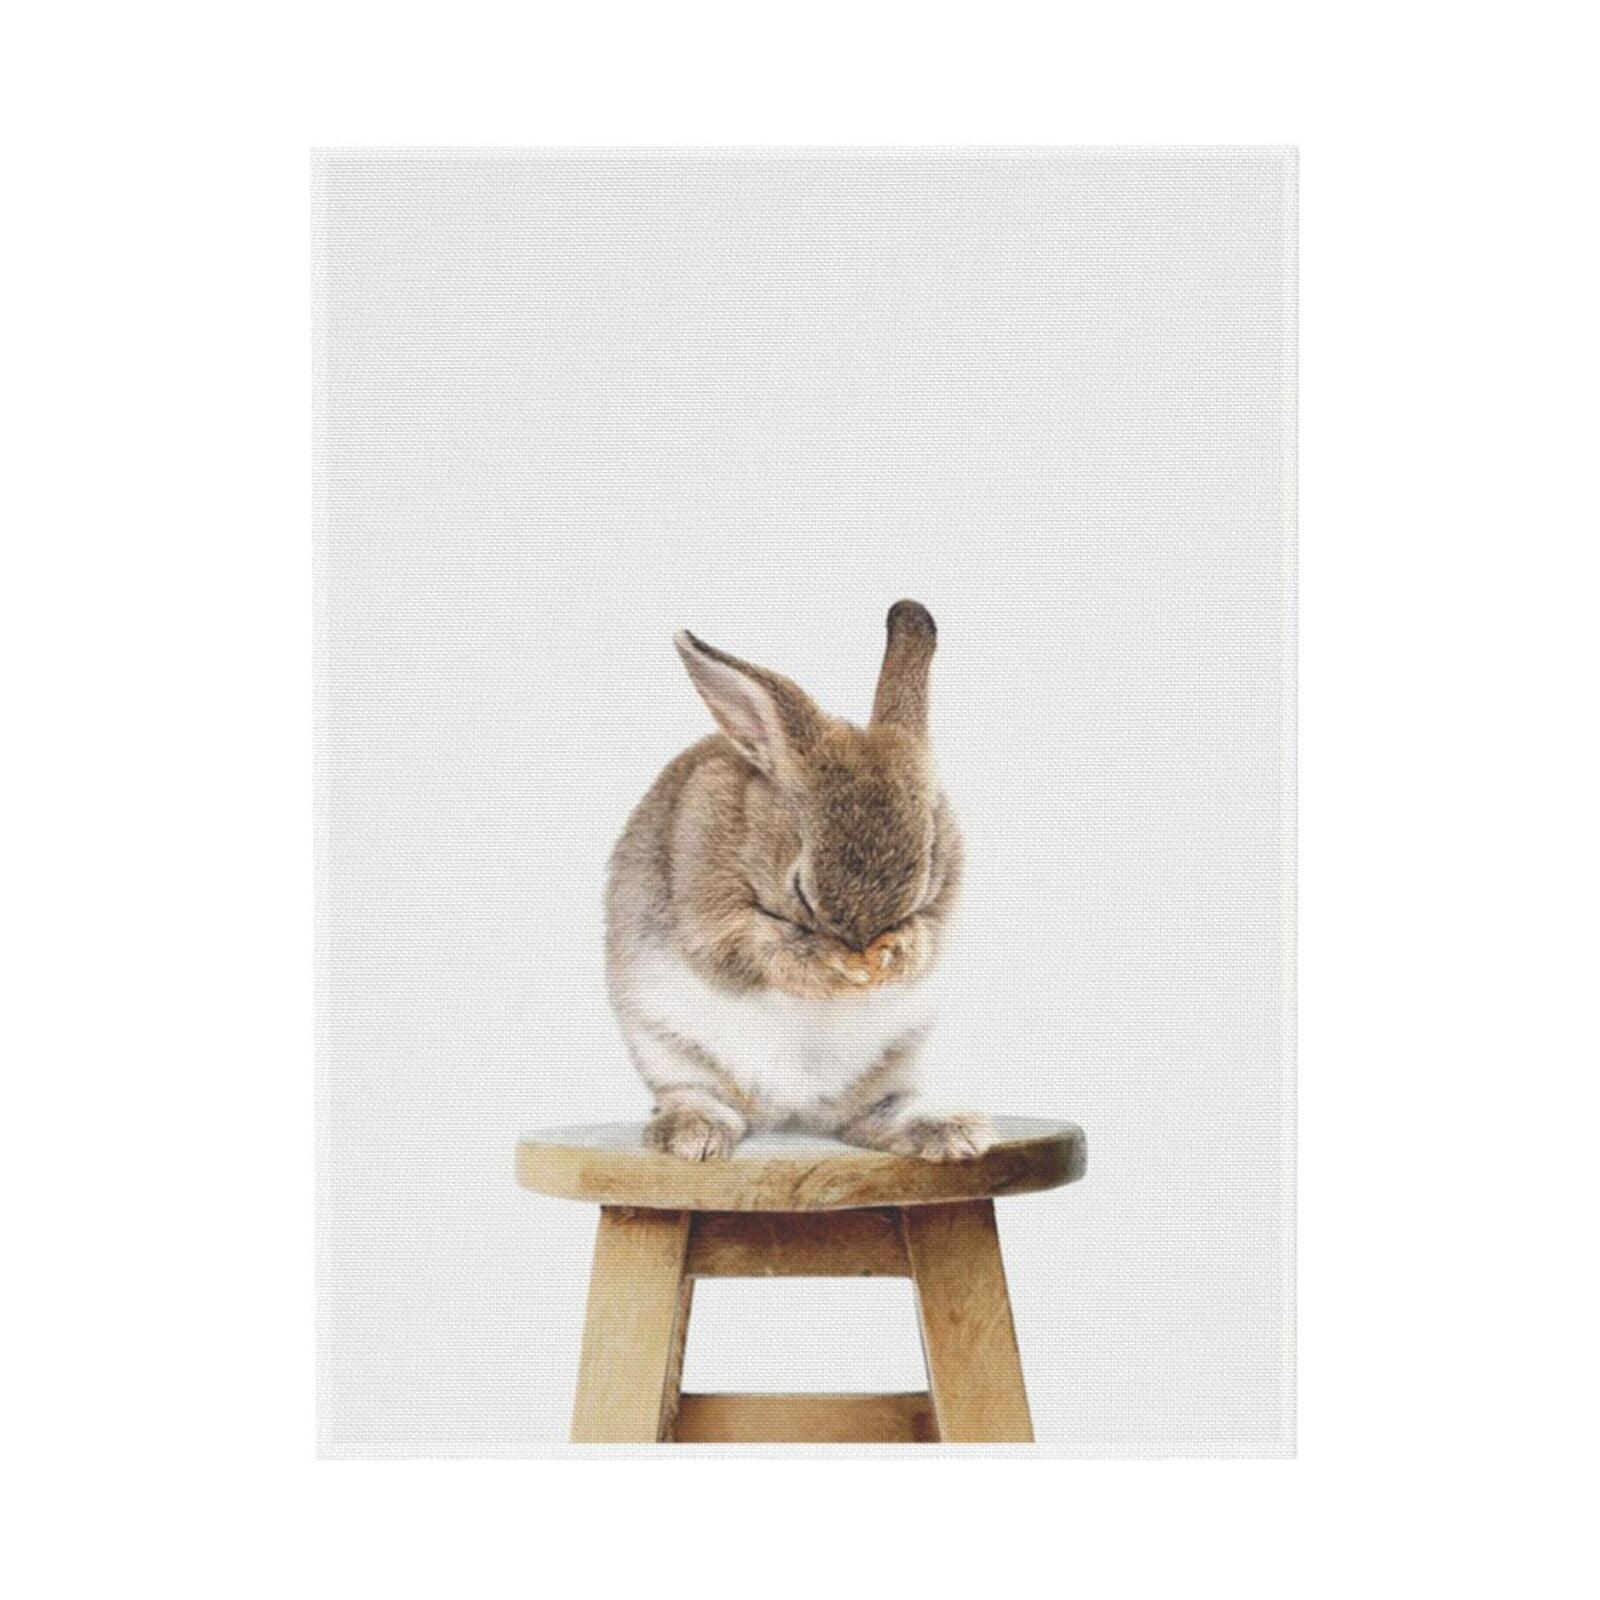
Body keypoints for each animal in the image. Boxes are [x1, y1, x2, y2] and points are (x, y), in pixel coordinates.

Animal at [605, 600, 994, 1163]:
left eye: (924, 876)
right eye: (800, 891)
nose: (862, 953)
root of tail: (792, 1113)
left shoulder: (942, 911)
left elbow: (926, 939)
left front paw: (892, 955)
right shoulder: (712, 917)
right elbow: (764, 950)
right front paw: (835, 967)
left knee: (877, 1117)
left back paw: (953, 1133)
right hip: (668, 1050)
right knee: (697, 1096)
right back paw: (692, 1136)